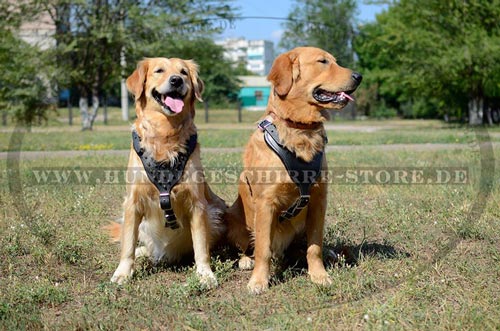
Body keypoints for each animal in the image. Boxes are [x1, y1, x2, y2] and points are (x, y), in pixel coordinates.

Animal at [110, 57, 227, 288]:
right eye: (159, 70)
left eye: (183, 72)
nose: (176, 81)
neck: (165, 133)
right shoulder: (132, 202)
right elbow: (127, 244)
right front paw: (123, 272)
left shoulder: (198, 203)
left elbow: (201, 246)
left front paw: (205, 274)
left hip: (216, 213)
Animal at [227, 47, 364, 296]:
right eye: (323, 61)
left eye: (335, 61)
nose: (359, 76)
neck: (300, 128)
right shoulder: (265, 204)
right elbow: (262, 249)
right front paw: (259, 281)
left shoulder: (319, 199)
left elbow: (314, 247)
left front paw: (319, 275)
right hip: (235, 219)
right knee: (247, 248)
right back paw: (245, 260)